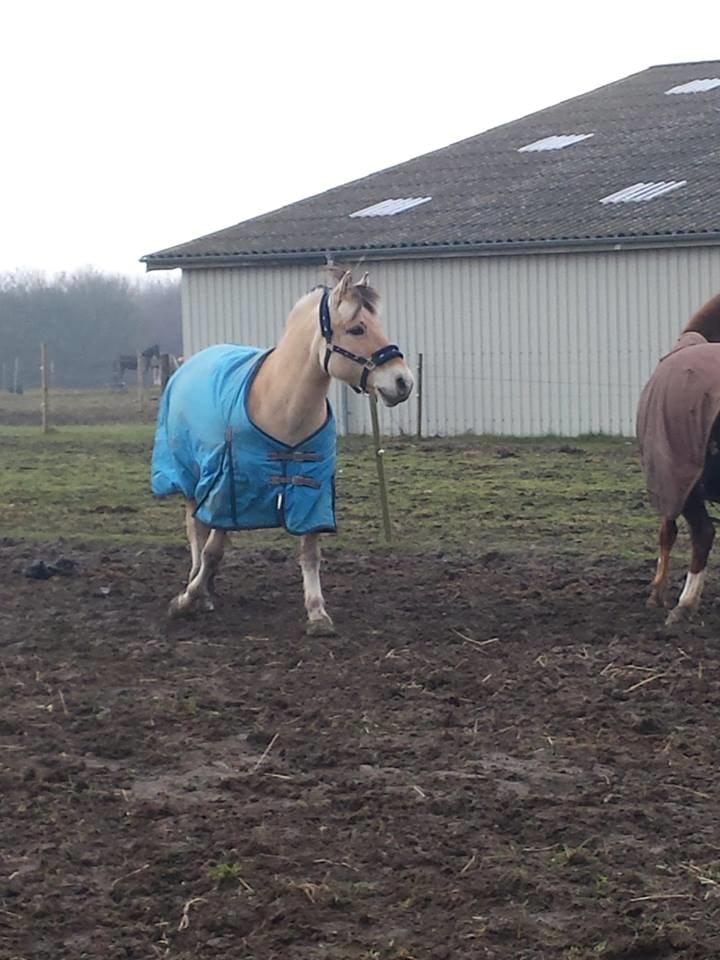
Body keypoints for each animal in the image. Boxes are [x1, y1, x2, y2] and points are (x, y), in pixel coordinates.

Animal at [149, 268, 414, 636]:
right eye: (357, 328)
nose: (404, 382)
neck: (282, 408)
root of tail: (190, 364)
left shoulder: (311, 490)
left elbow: (310, 552)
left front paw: (317, 614)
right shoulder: (228, 488)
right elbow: (214, 549)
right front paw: (185, 600)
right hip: (190, 477)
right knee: (196, 532)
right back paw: (198, 587)